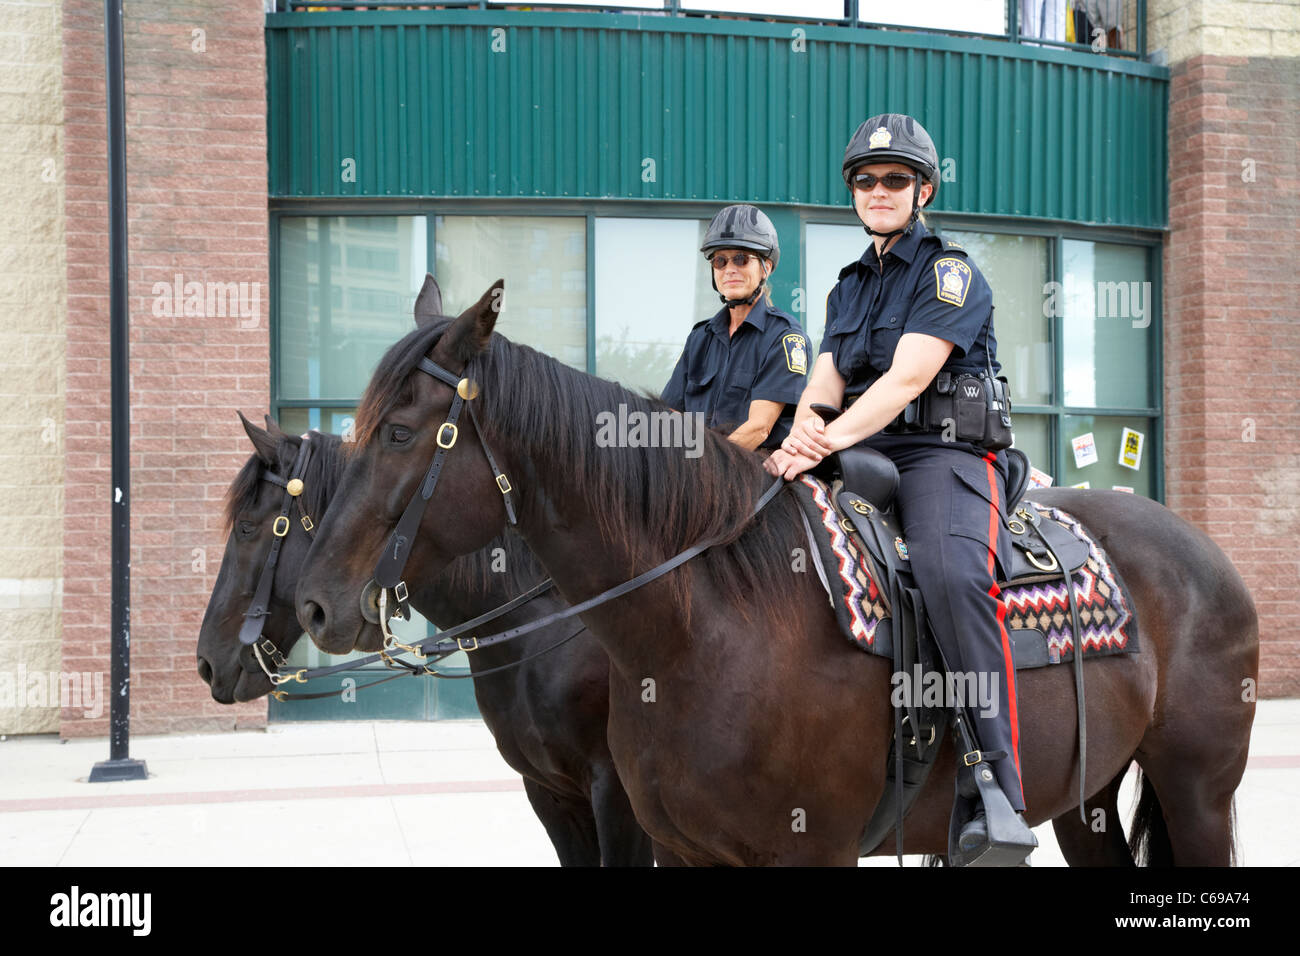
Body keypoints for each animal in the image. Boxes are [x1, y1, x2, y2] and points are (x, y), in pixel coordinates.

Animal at [297, 286, 1258, 868]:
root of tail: (1204, 551)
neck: (704, 626)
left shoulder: (801, 850)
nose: (316, 604)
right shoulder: (671, 843)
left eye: (399, 432)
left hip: (1198, 793)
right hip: (1084, 799)